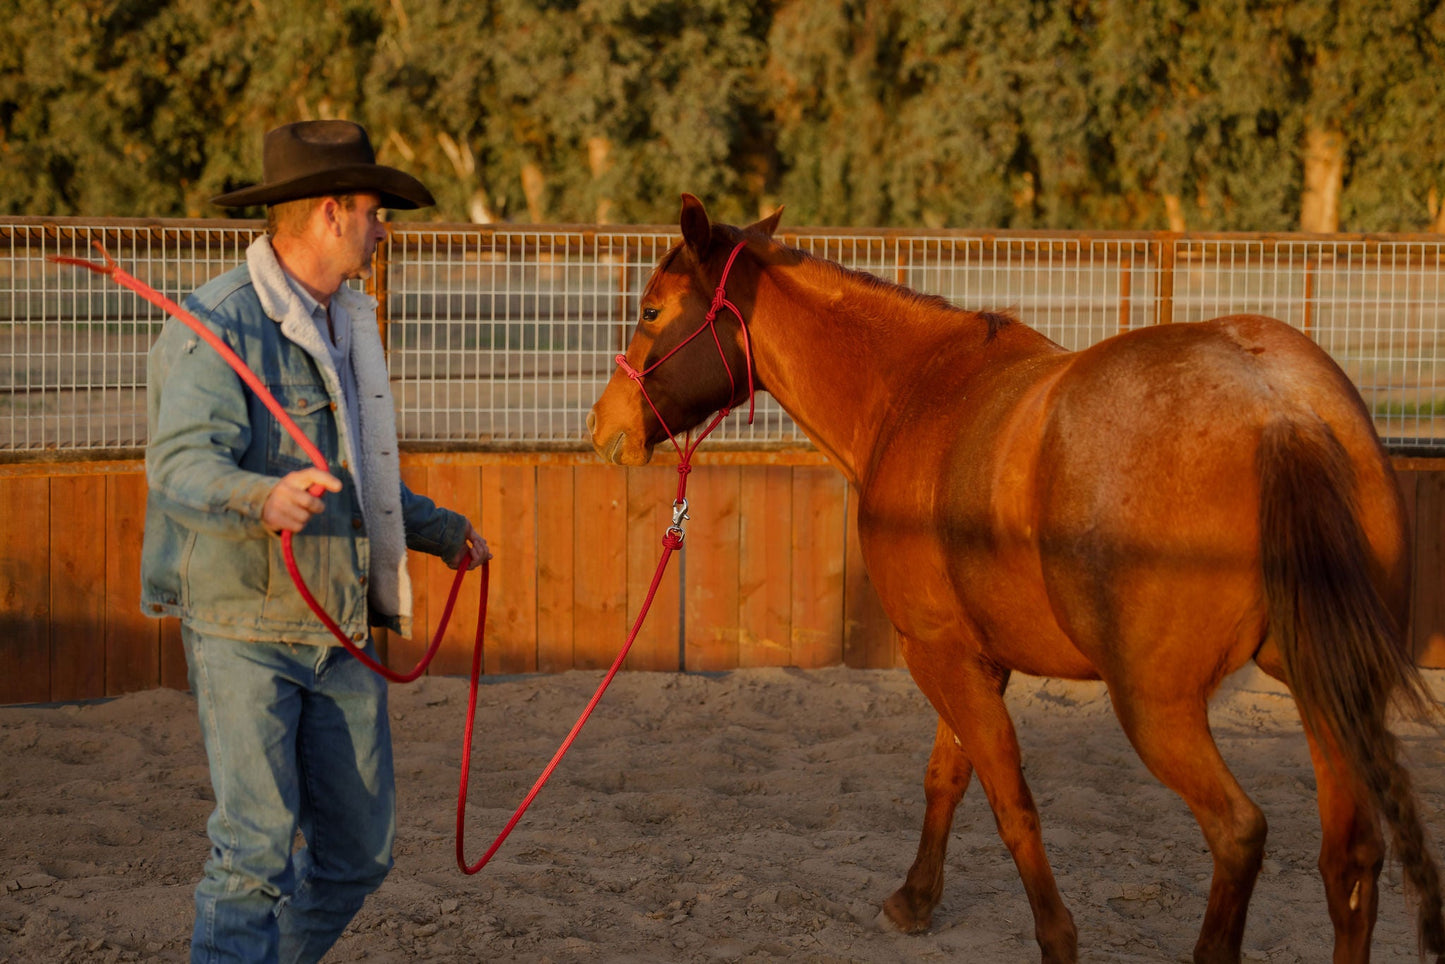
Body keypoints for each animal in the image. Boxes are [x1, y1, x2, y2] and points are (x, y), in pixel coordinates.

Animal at [586, 195, 1444, 963]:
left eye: (651, 311)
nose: (603, 429)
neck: (914, 391)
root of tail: (1276, 405)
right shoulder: (972, 655)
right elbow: (947, 775)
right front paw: (914, 901)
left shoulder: (935, 650)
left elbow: (1007, 802)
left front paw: (1053, 939)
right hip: (1327, 690)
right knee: (1349, 859)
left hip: (1159, 708)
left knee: (1238, 832)